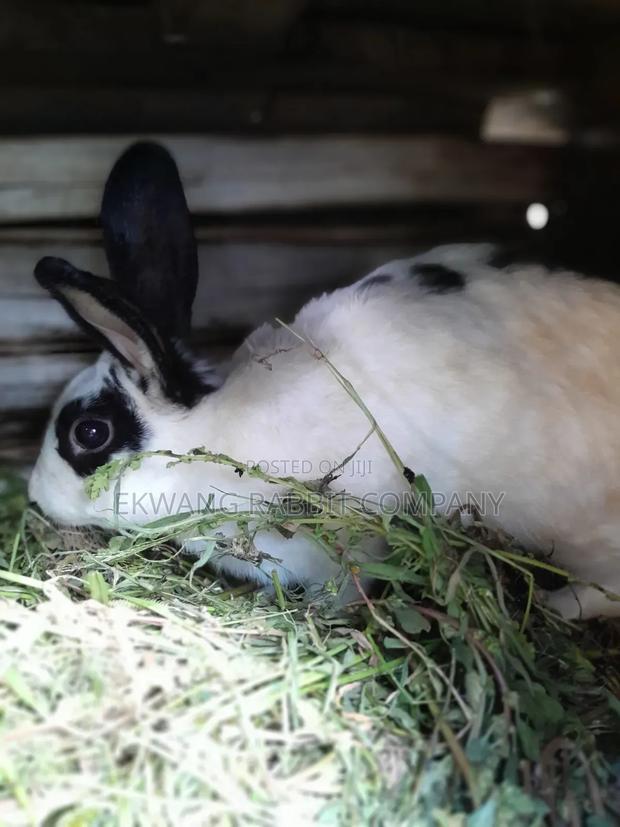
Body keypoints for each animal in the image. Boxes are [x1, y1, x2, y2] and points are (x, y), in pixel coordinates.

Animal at [28, 141, 620, 619]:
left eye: (89, 433)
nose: (34, 496)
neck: (217, 435)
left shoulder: (353, 540)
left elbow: (348, 582)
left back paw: (554, 605)